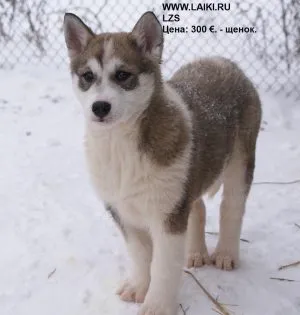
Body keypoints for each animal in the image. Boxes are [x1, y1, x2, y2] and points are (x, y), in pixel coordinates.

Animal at [63, 11, 262, 314]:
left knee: (232, 207)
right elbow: (141, 255)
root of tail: (221, 61)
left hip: (241, 160)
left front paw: (157, 305)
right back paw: (196, 253)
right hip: (189, 177)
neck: (119, 144)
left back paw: (226, 254)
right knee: (198, 207)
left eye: (123, 75)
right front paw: (138, 288)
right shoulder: (123, 211)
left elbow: (164, 266)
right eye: (87, 76)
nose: (99, 107)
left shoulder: (167, 217)